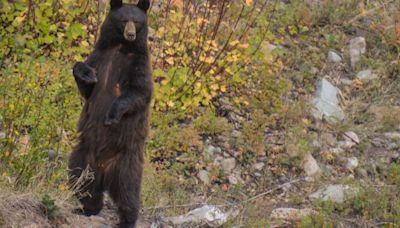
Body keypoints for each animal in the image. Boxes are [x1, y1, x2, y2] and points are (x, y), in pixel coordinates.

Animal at [68, 0, 152, 226]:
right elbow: (87, 85)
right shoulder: (99, 57)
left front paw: (111, 116)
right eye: (124, 20)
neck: (120, 47)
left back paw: (127, 219)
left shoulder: (138, 64)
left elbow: (138, 92)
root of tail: (104, 170)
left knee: (127, 190)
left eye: (137, 21)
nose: (130, 34)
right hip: (83, 154)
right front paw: (85, 74)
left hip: (125, 162)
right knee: (80, 179)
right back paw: (87, 208)